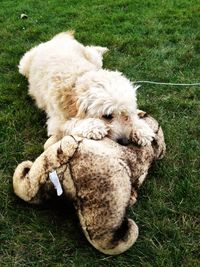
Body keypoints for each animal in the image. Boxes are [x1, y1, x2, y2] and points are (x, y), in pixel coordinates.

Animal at [18, 31, 154, 150]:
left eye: (126, 115)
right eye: (107, 116)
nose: (124, 141)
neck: (77, 83)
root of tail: (57, 40)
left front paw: (142, 129)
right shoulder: (56, 122)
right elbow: (71, 124)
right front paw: (93, 127)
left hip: (94, 59)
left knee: (92, 49)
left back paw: (102, 49)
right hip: (24, 64)